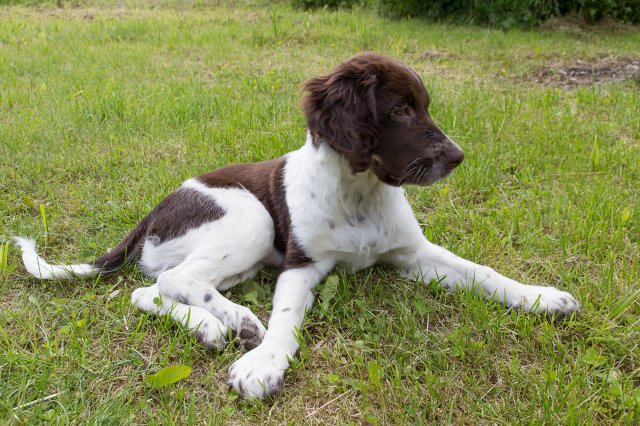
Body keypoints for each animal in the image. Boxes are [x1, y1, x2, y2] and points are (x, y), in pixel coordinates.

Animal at [15, 52, 580, 399]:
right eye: (401, 110)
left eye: (424, 106)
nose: (459, 157)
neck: (360, 192)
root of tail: (155, 210)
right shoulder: (301, 263)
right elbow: (286, 320)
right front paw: (264, 363)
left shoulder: (410, 254)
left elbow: (483, 272)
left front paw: (541, 297)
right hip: (253, 222)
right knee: (177, 280)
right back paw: (237, 322)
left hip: (237, 258)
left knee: (148, 291)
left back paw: (212, 328)